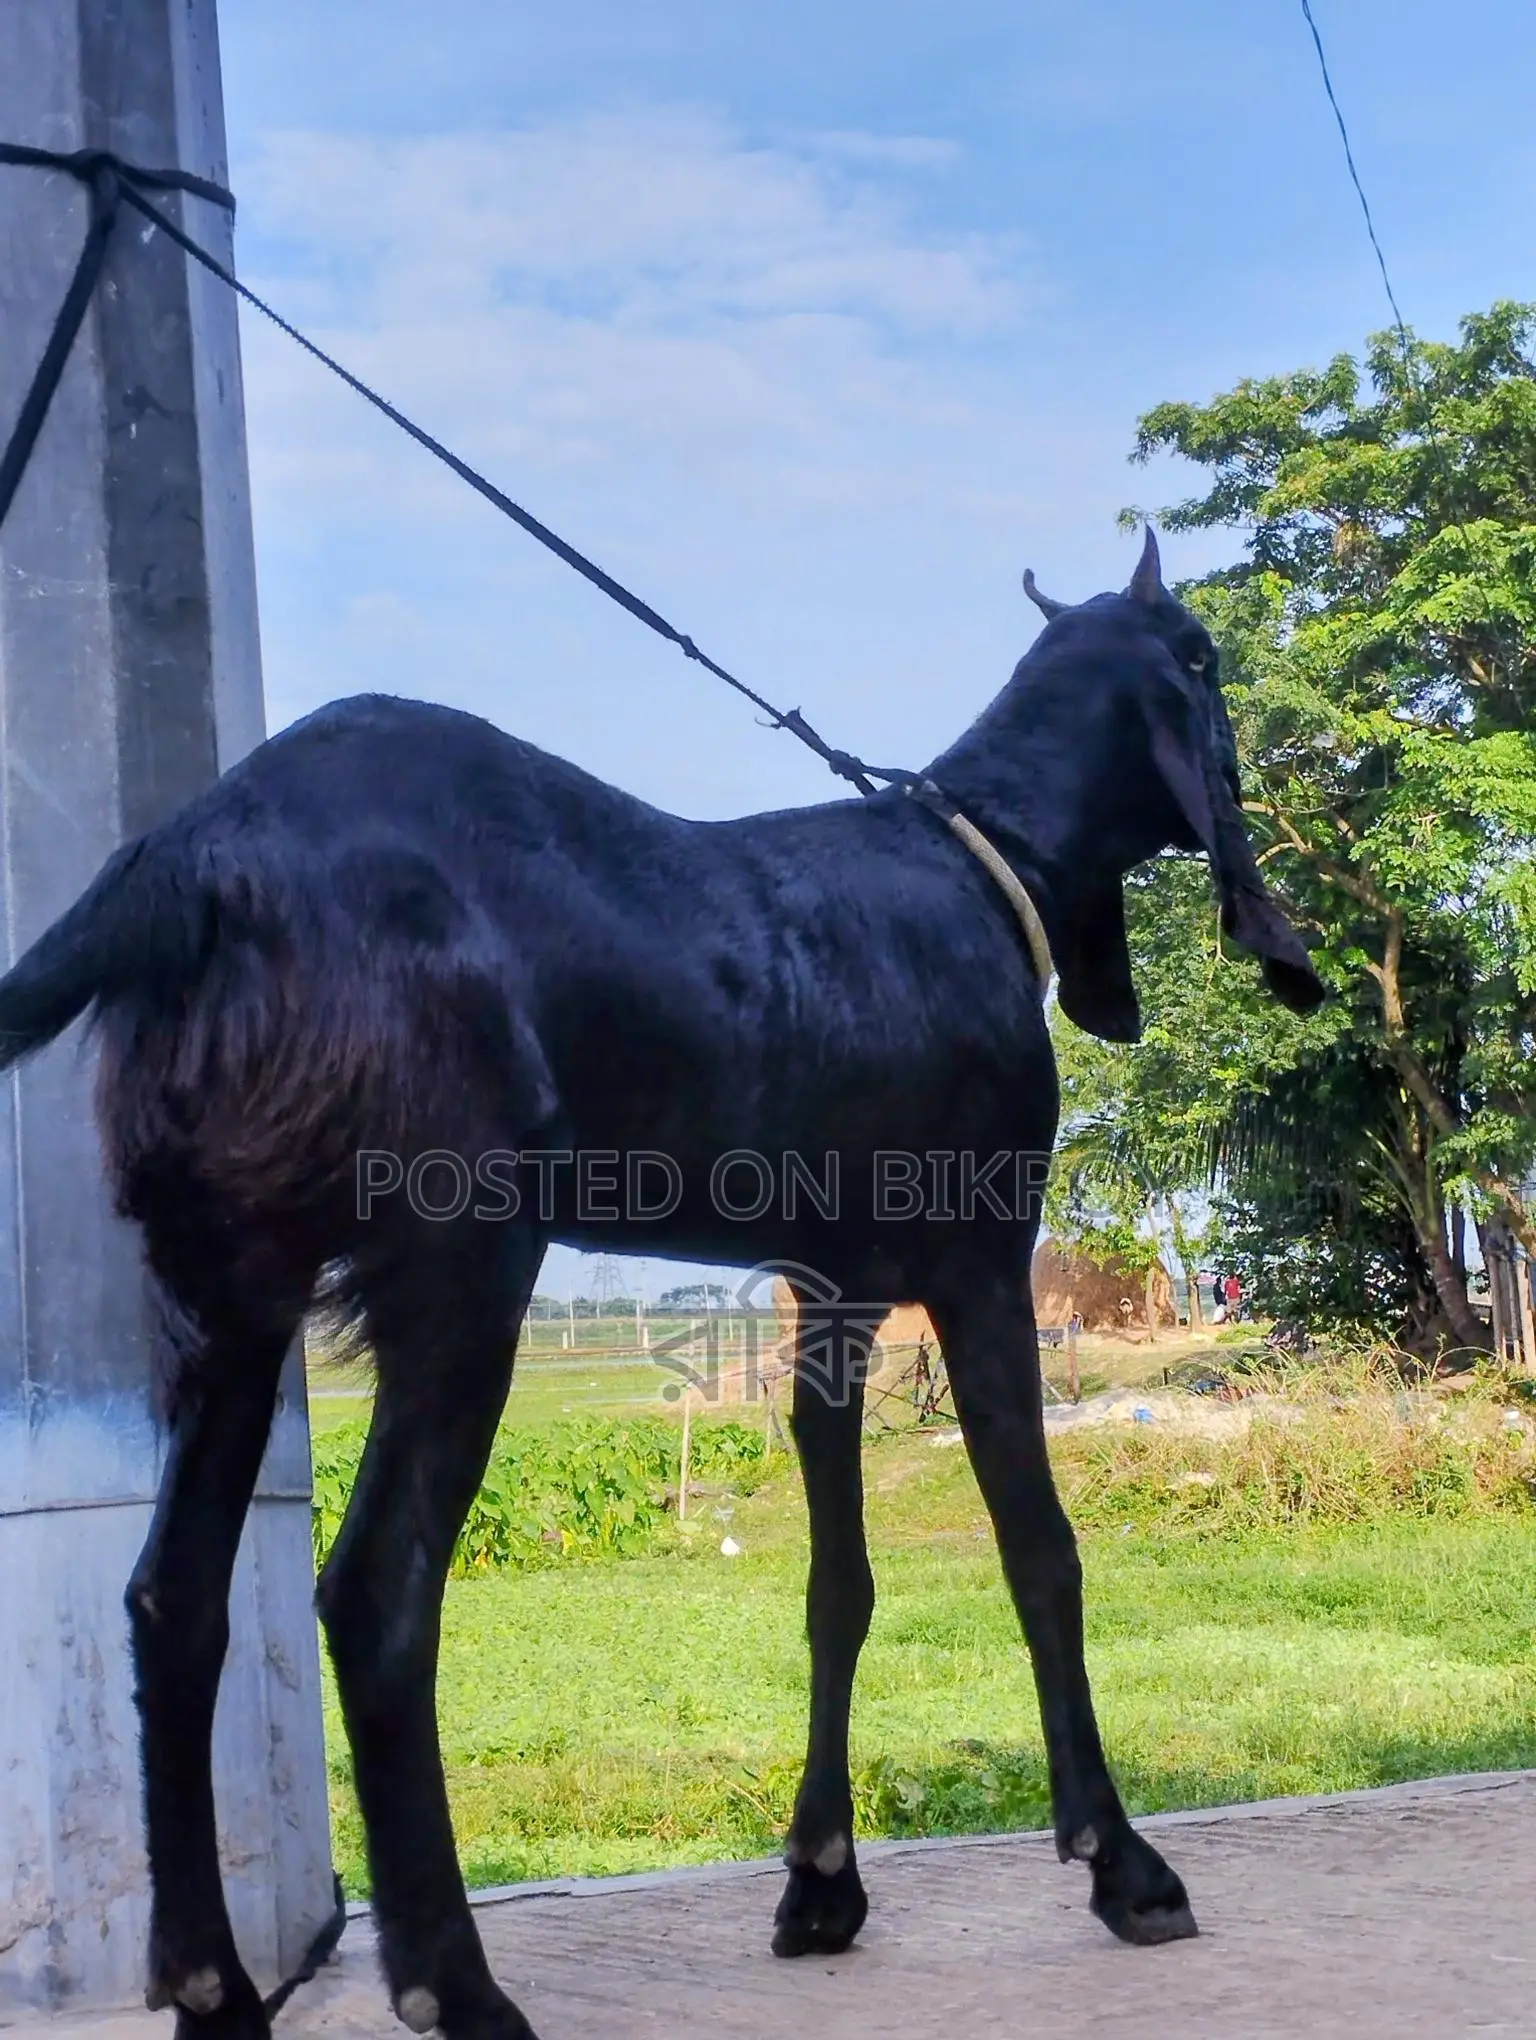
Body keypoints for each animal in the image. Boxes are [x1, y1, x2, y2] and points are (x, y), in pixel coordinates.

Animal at [0, 528, 1323, 2039]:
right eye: (1204, 658)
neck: (987, 858)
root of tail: (190, 863)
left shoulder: (833, 1293)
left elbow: (838, 1582)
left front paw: (821, 1883)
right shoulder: (983, 1259)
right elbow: (1040, 1549)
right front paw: (1123, 1863)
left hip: (230, 1286)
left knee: (174, 1599)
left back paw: (216, 1989)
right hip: (465, 1255)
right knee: (378, 1588)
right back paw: (455, 1984)